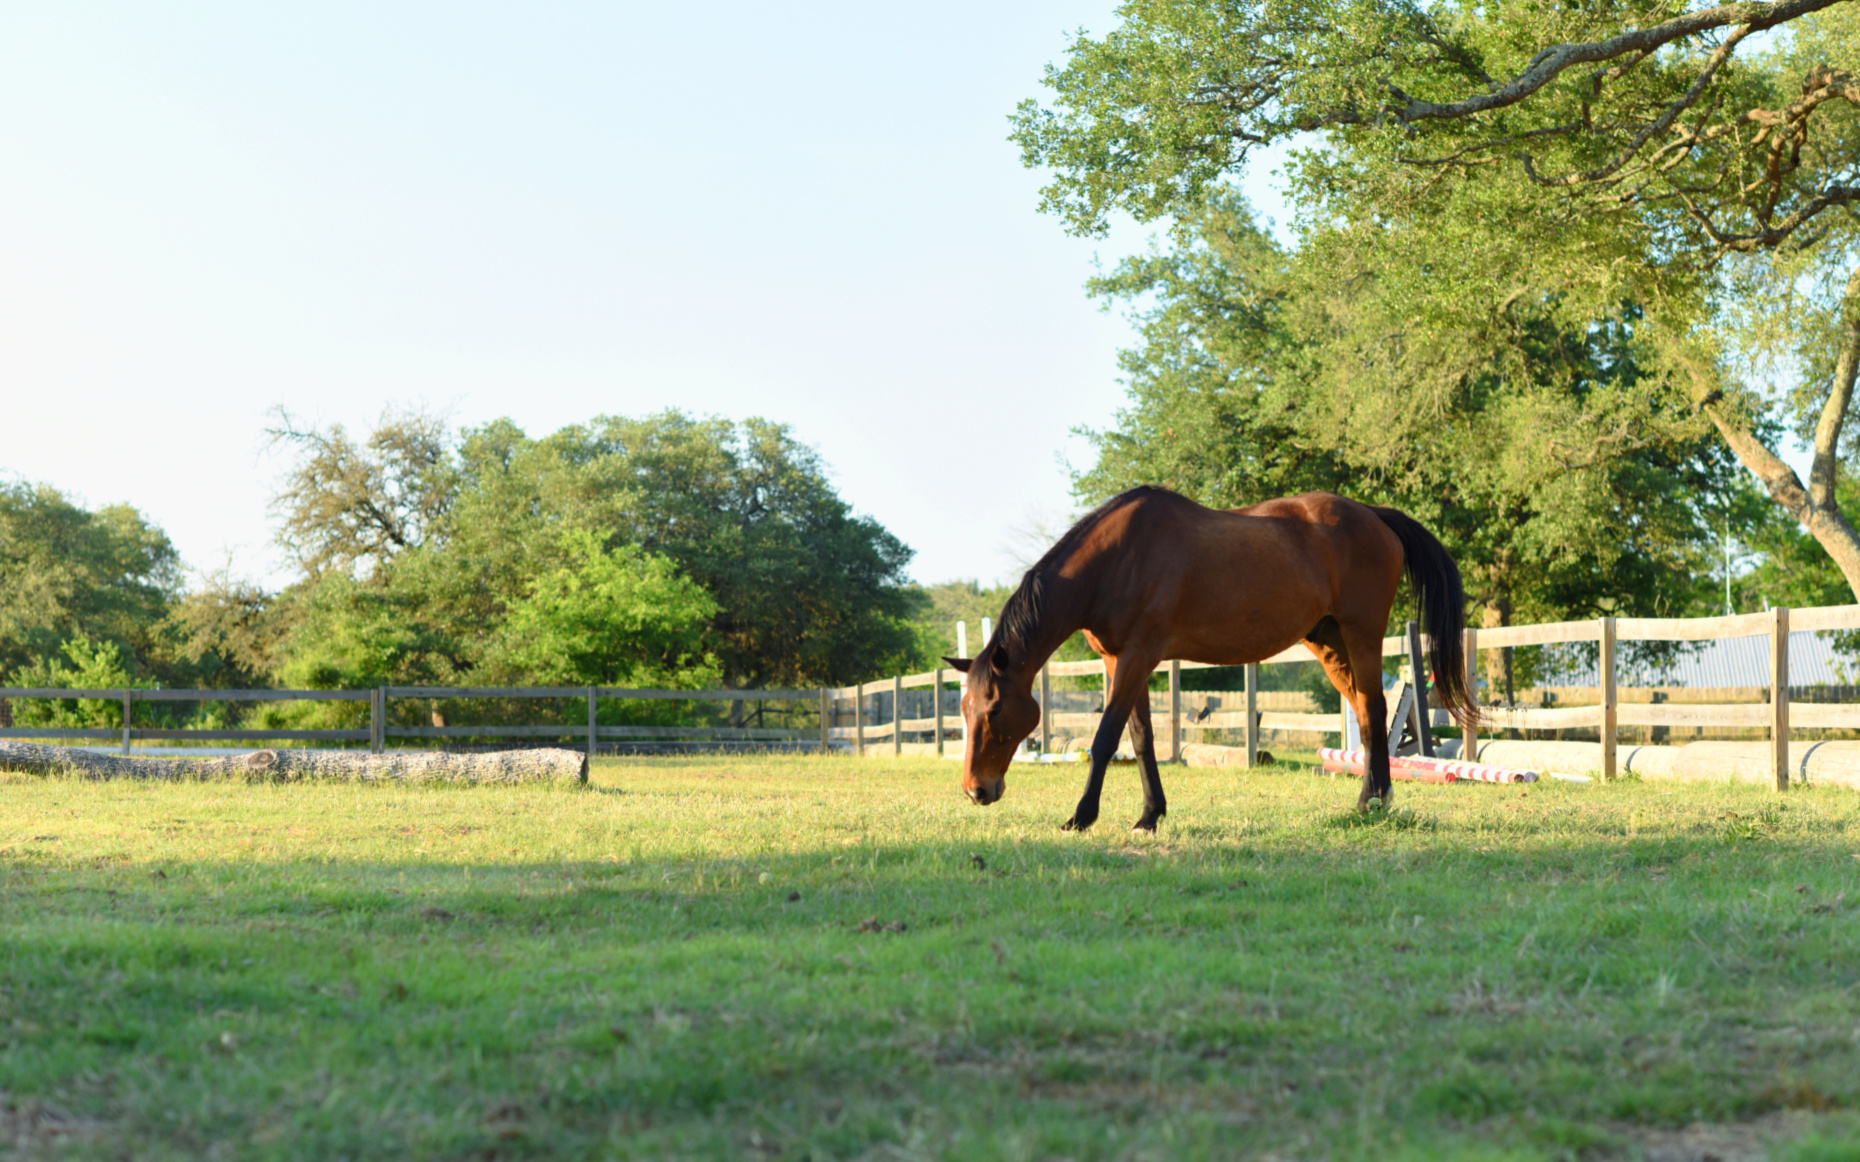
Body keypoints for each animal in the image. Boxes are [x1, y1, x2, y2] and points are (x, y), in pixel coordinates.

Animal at [944, 486, 1477, 829]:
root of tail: (1373, 514)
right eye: (964, 710)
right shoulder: (1121, 662)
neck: (1117, 561)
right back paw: (1372, 799)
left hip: (1361, 636)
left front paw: (1082, 815)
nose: (976, 790)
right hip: (1329, 642)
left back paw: (1376, 802)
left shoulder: (1138, 655)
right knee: (1367, 716)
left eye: (994, 710)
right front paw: (1150, 815)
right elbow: (1141, 738)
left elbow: (1105, 738)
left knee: (1375, 710)